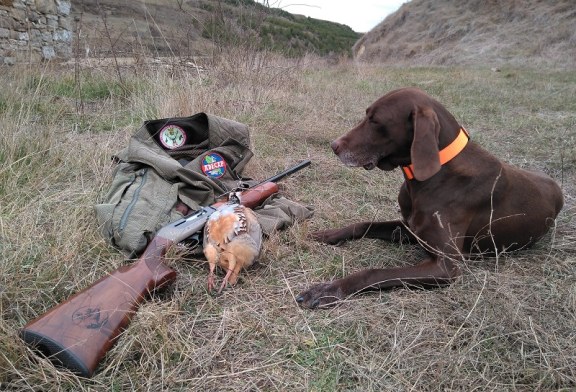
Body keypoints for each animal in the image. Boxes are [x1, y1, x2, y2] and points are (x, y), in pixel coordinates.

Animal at [296, 88, 564, 310]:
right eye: (367, 115)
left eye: (376, 121)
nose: (334, 146)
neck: (434, 175)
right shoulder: (409, 229)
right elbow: (363, 224)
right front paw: (327, 234)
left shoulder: (445, 266)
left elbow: (375, 272)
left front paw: (329, 289)